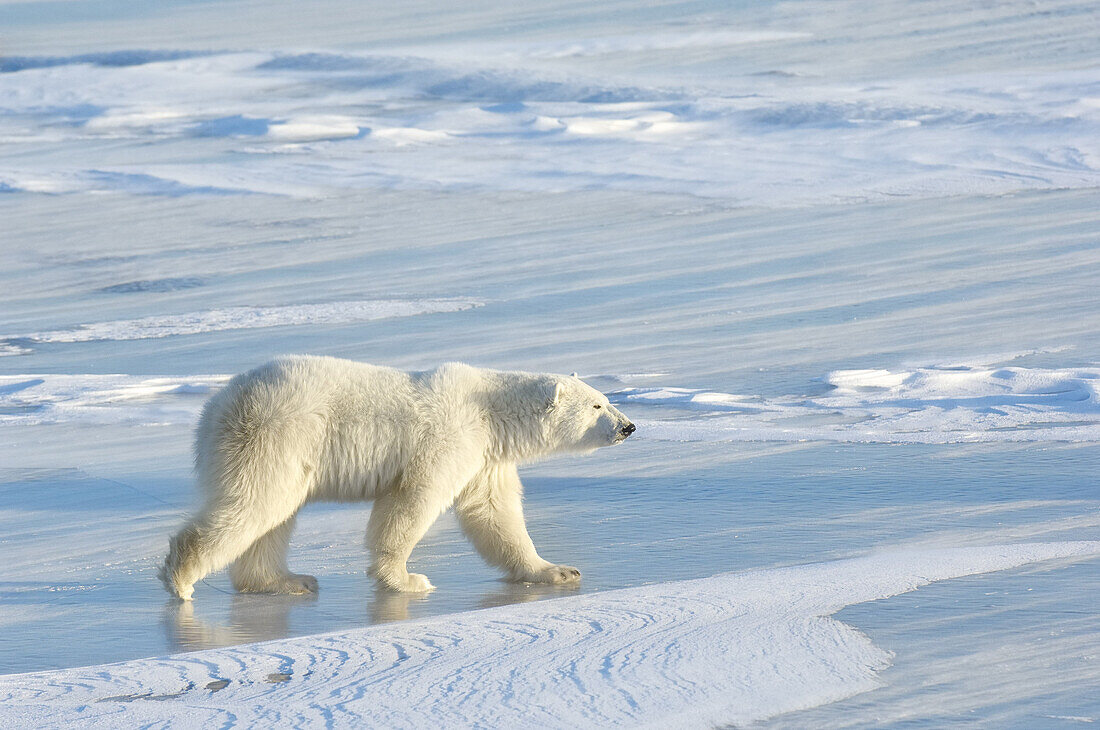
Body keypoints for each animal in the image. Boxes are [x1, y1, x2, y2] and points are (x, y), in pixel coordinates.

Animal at [158, 354, 633, 598]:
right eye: (597, 405)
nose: (629, 426)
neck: (489, 411)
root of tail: (216, 407)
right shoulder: (448, 438)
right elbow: (412, 500)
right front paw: (405, 579)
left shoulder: (485, 457)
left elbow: (494, 513)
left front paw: (557, 570)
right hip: (277, 435)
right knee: (256, 504)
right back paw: (181, 578)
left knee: (272, 518)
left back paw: (286, 581)